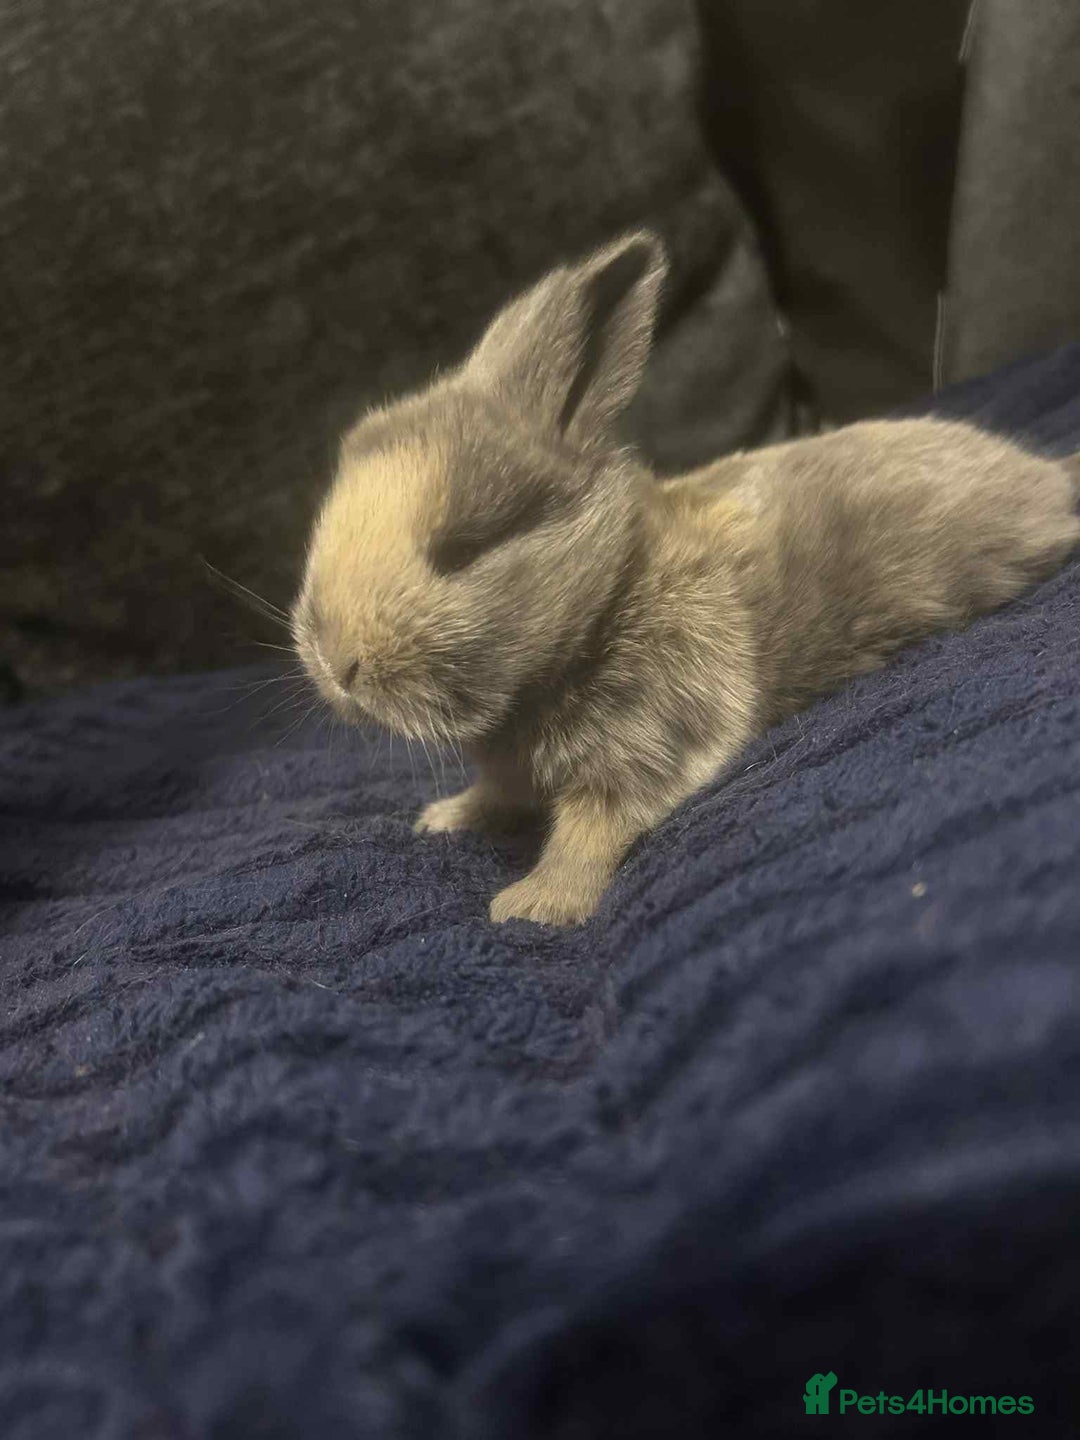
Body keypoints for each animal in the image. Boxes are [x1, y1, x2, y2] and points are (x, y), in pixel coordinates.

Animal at [292, 231, 1079, 926]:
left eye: (466, 547)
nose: (337, 666)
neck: (611, 592)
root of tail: (1044, 478)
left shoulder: (652, 734)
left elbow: (591, 829)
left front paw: (534, 908)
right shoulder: (523, 763)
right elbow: (498, 792)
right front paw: (443, 817)